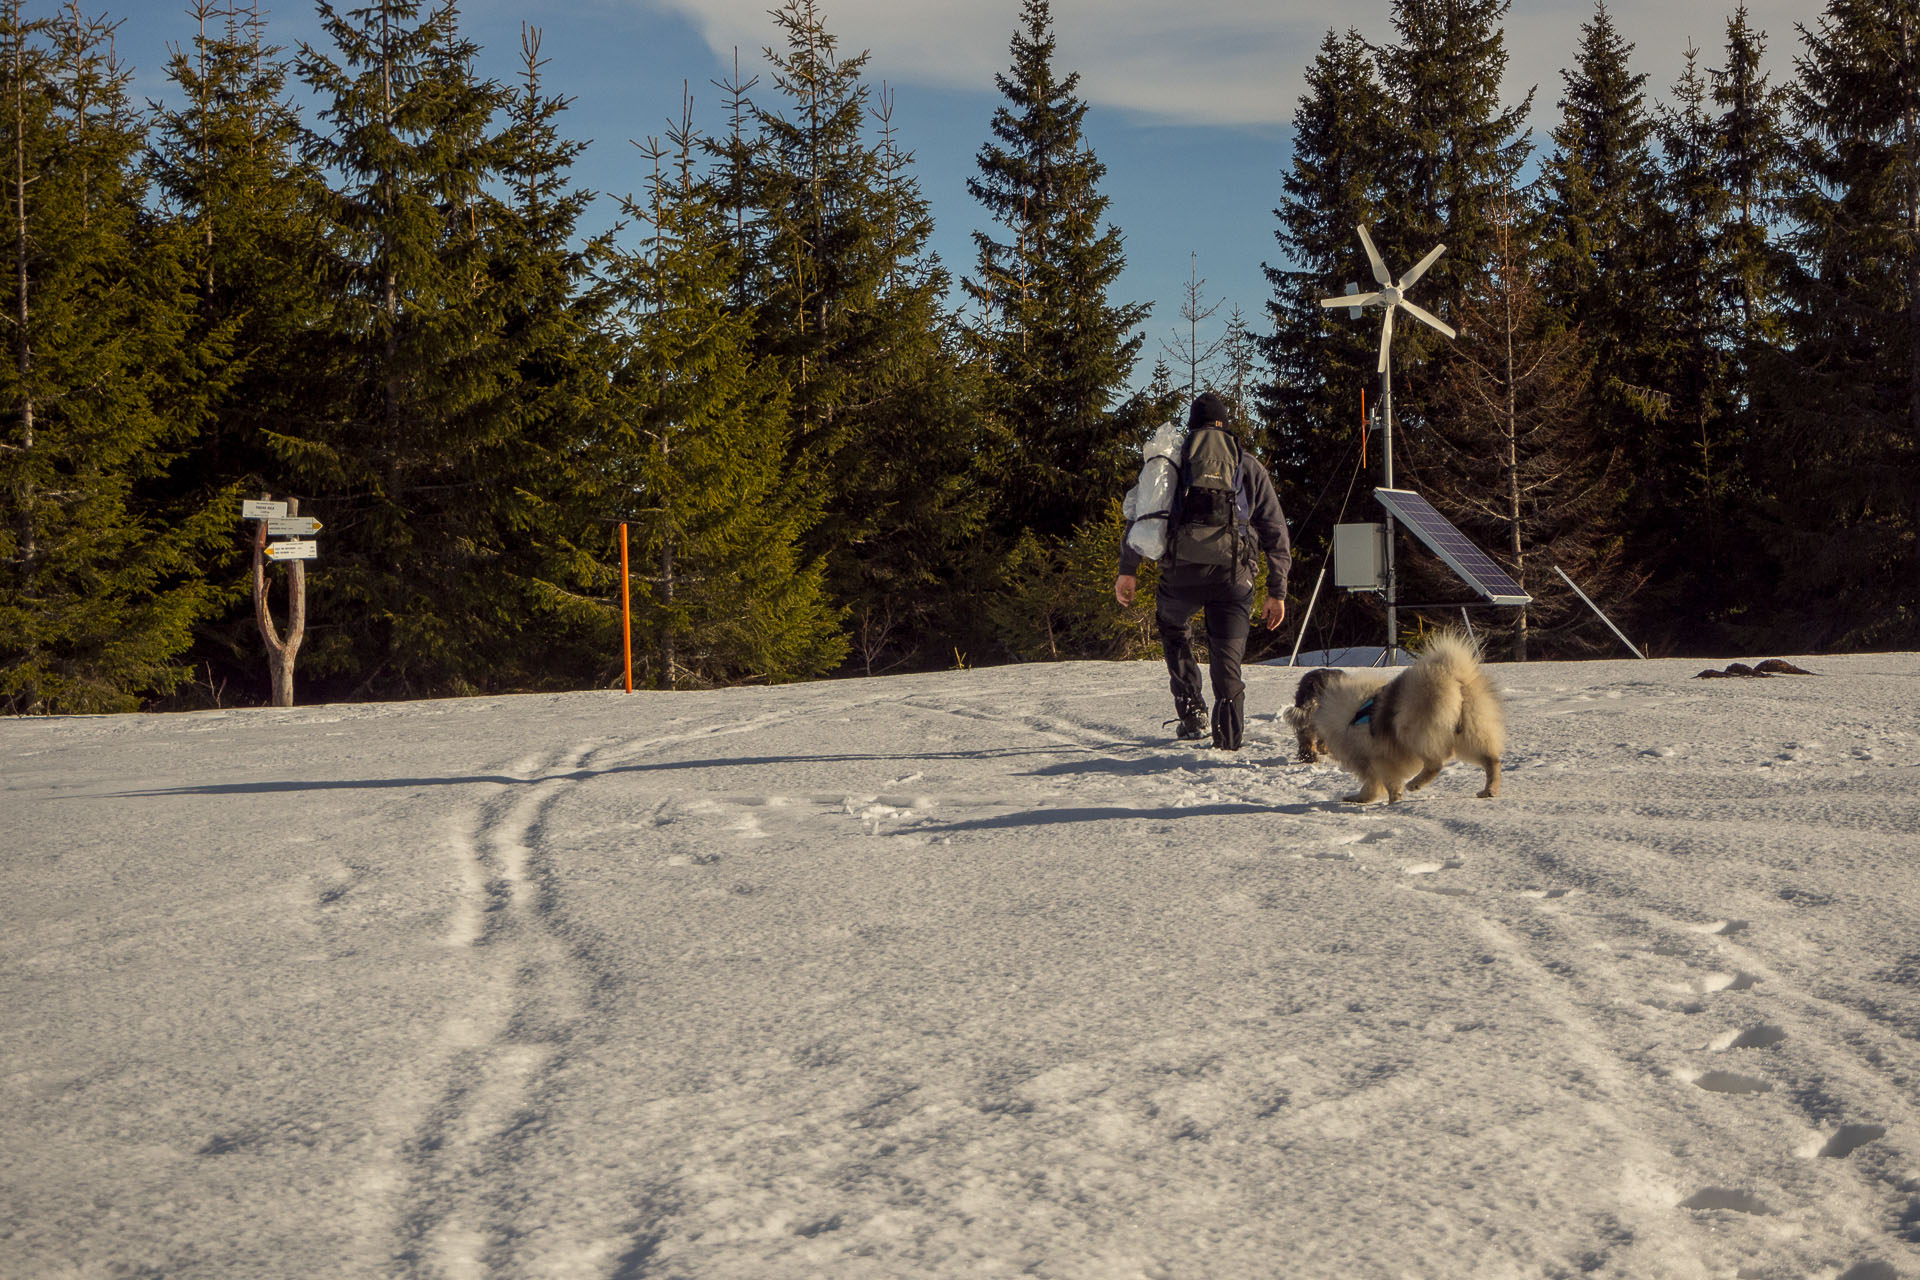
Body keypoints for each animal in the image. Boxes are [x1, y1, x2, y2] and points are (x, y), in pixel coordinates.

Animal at [1305, 637, 1497, 805]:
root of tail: (1452, 675)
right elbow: (1373, 785)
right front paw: (1359, 798)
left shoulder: (1376, 757)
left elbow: (1384, 783)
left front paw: (1392, 801)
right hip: (1470, 733)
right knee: (1491, 760)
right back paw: (1489, 790)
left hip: (1412, 730)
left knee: (1435, 764)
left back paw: (1415, 783)